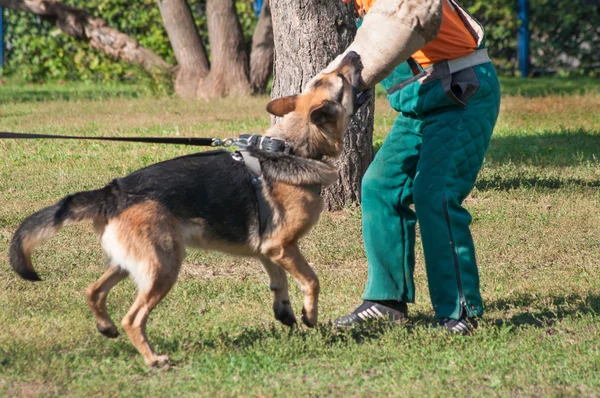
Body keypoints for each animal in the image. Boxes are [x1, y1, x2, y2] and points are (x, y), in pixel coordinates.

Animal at [9, 52, 366, 366]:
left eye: (325, 76)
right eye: (338, 80)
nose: (354, 54)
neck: (291, 146)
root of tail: (114, 192)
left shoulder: (269, 249)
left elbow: (279, 282)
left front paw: (286, 312)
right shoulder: (283, 246)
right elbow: (312, 280)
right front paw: (310, 316)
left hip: (132, 264)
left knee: (93, 291)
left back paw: (105, 327)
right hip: (165, 267)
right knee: (132, 318)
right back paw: (154, 359)